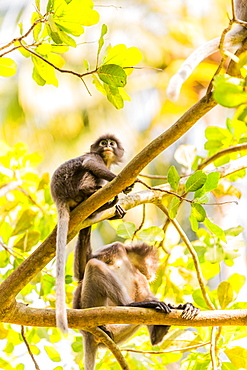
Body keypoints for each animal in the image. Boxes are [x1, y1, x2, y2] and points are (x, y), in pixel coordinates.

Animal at [50, 134, 133, 332]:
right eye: (103, 143)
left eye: (112, 143)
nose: (108, 145)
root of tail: (58, 197)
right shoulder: (94, 157)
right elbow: (90, 164)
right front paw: (119, 181)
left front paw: (117, 210)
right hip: (71, 185)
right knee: (88, 172)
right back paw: (90, 192)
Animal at [72, 234, 200, 370]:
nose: (152, 274)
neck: (128, 262)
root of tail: (87, 335)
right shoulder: (116, 247)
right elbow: (81, 272)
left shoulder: (140, 276)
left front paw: (183, 306)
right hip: (89, 304)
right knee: (94, 265)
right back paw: (128, 305)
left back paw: (158, 331)